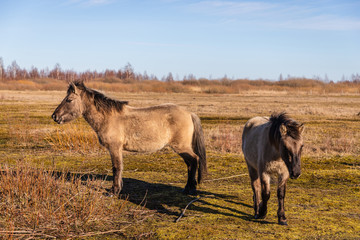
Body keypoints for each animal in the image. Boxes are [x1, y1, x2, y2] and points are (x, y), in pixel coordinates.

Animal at [52, 82, 207, 195]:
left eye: (69, 100)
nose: (54, 116)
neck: (109, 117)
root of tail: (189, 113)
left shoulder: (114, 148)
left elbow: (116, 167)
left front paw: (114, 191)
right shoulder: (117, 149)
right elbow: (119, 167)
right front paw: (118, 188)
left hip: (181, 147)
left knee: (194, 160)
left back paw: (190, 189)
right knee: (190, 163)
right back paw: (189, 187)